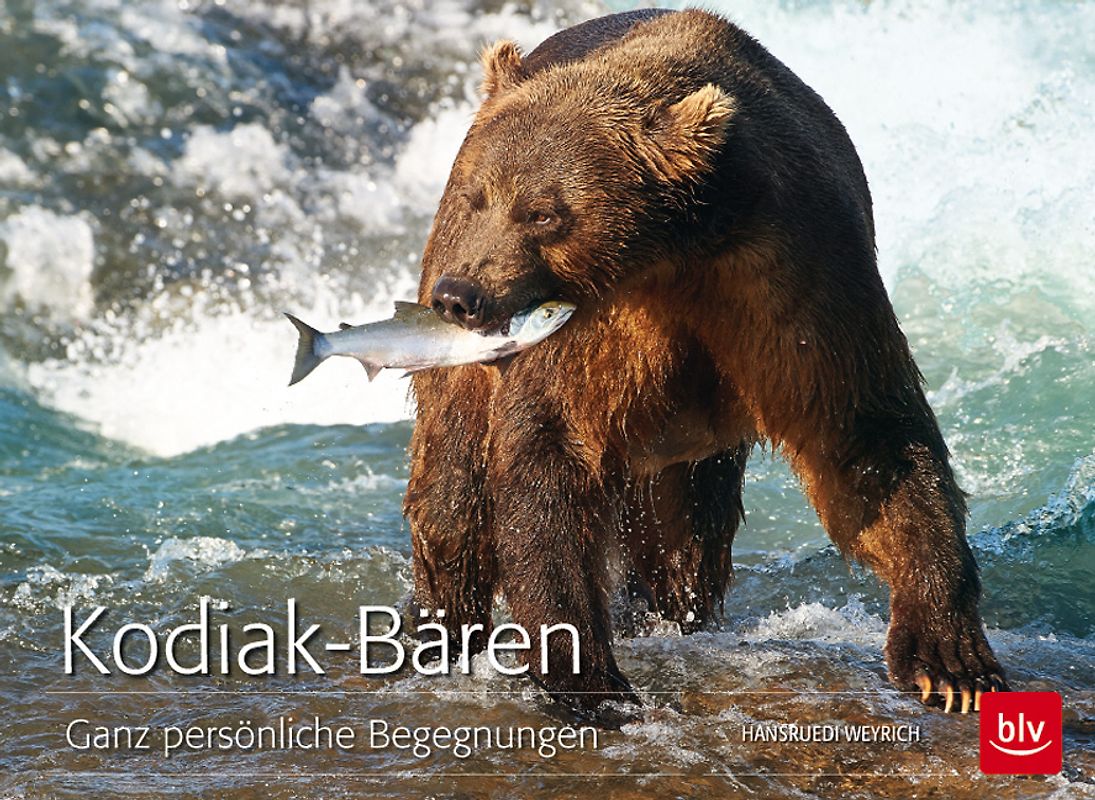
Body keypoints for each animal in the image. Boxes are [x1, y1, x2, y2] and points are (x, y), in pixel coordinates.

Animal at [403, 8, 1007, 713]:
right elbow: (549, 450)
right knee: (453, 493)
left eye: (543, 212)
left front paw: (950, 662)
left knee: (685, 537)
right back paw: (436, 632)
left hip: (688, 450)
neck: (669, 250)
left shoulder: (791, 277)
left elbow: (864, 434)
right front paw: (587, 676)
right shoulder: (589, 330)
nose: (460, 296)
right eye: (477, 197)